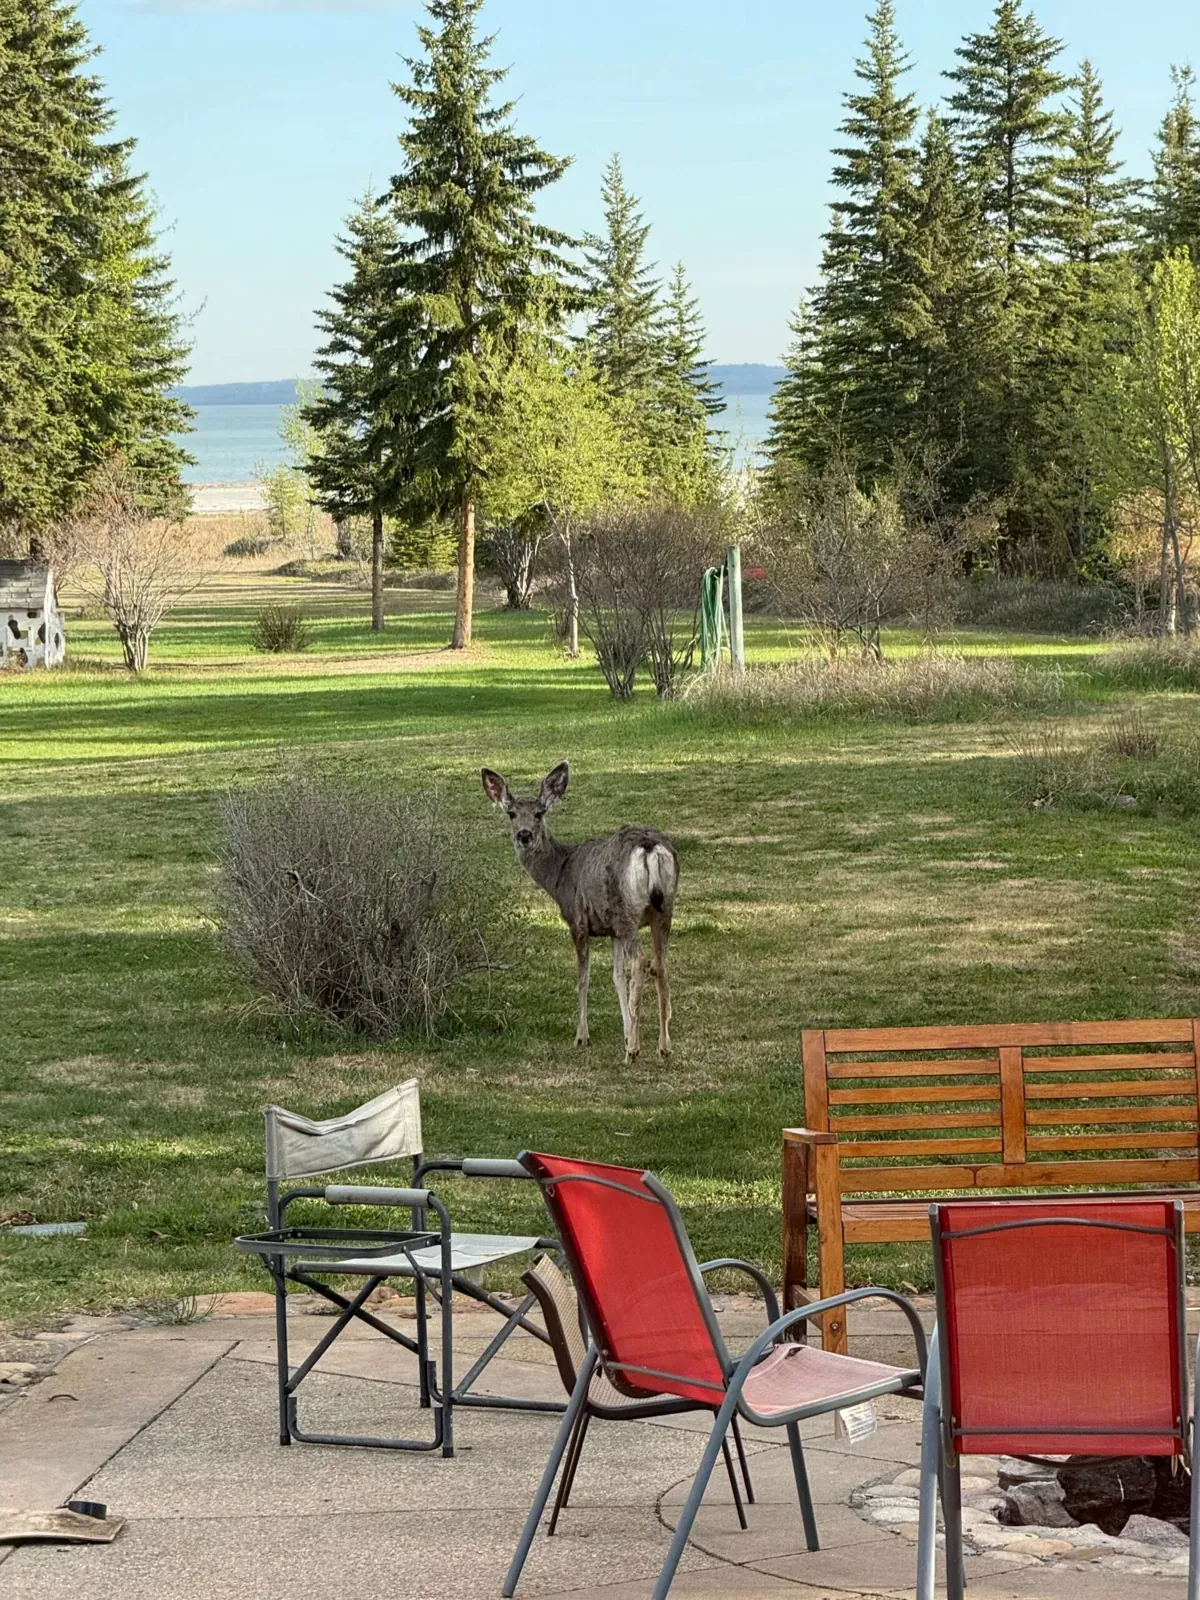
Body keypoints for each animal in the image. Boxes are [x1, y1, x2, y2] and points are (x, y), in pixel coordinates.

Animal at [481, 762, 678, 1062]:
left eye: (539, 813)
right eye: (511, 813)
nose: (524, 835)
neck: (560, 875)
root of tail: (649, 846)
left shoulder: (578, 921)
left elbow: (583, 978)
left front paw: (582, 1036)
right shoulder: (611, 930)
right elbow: (617, 977)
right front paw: (625, 1030)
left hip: (627, 912)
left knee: (641, 961)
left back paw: (633, 1051)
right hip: (663, 910)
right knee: (661, 965)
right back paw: (663, 1046)